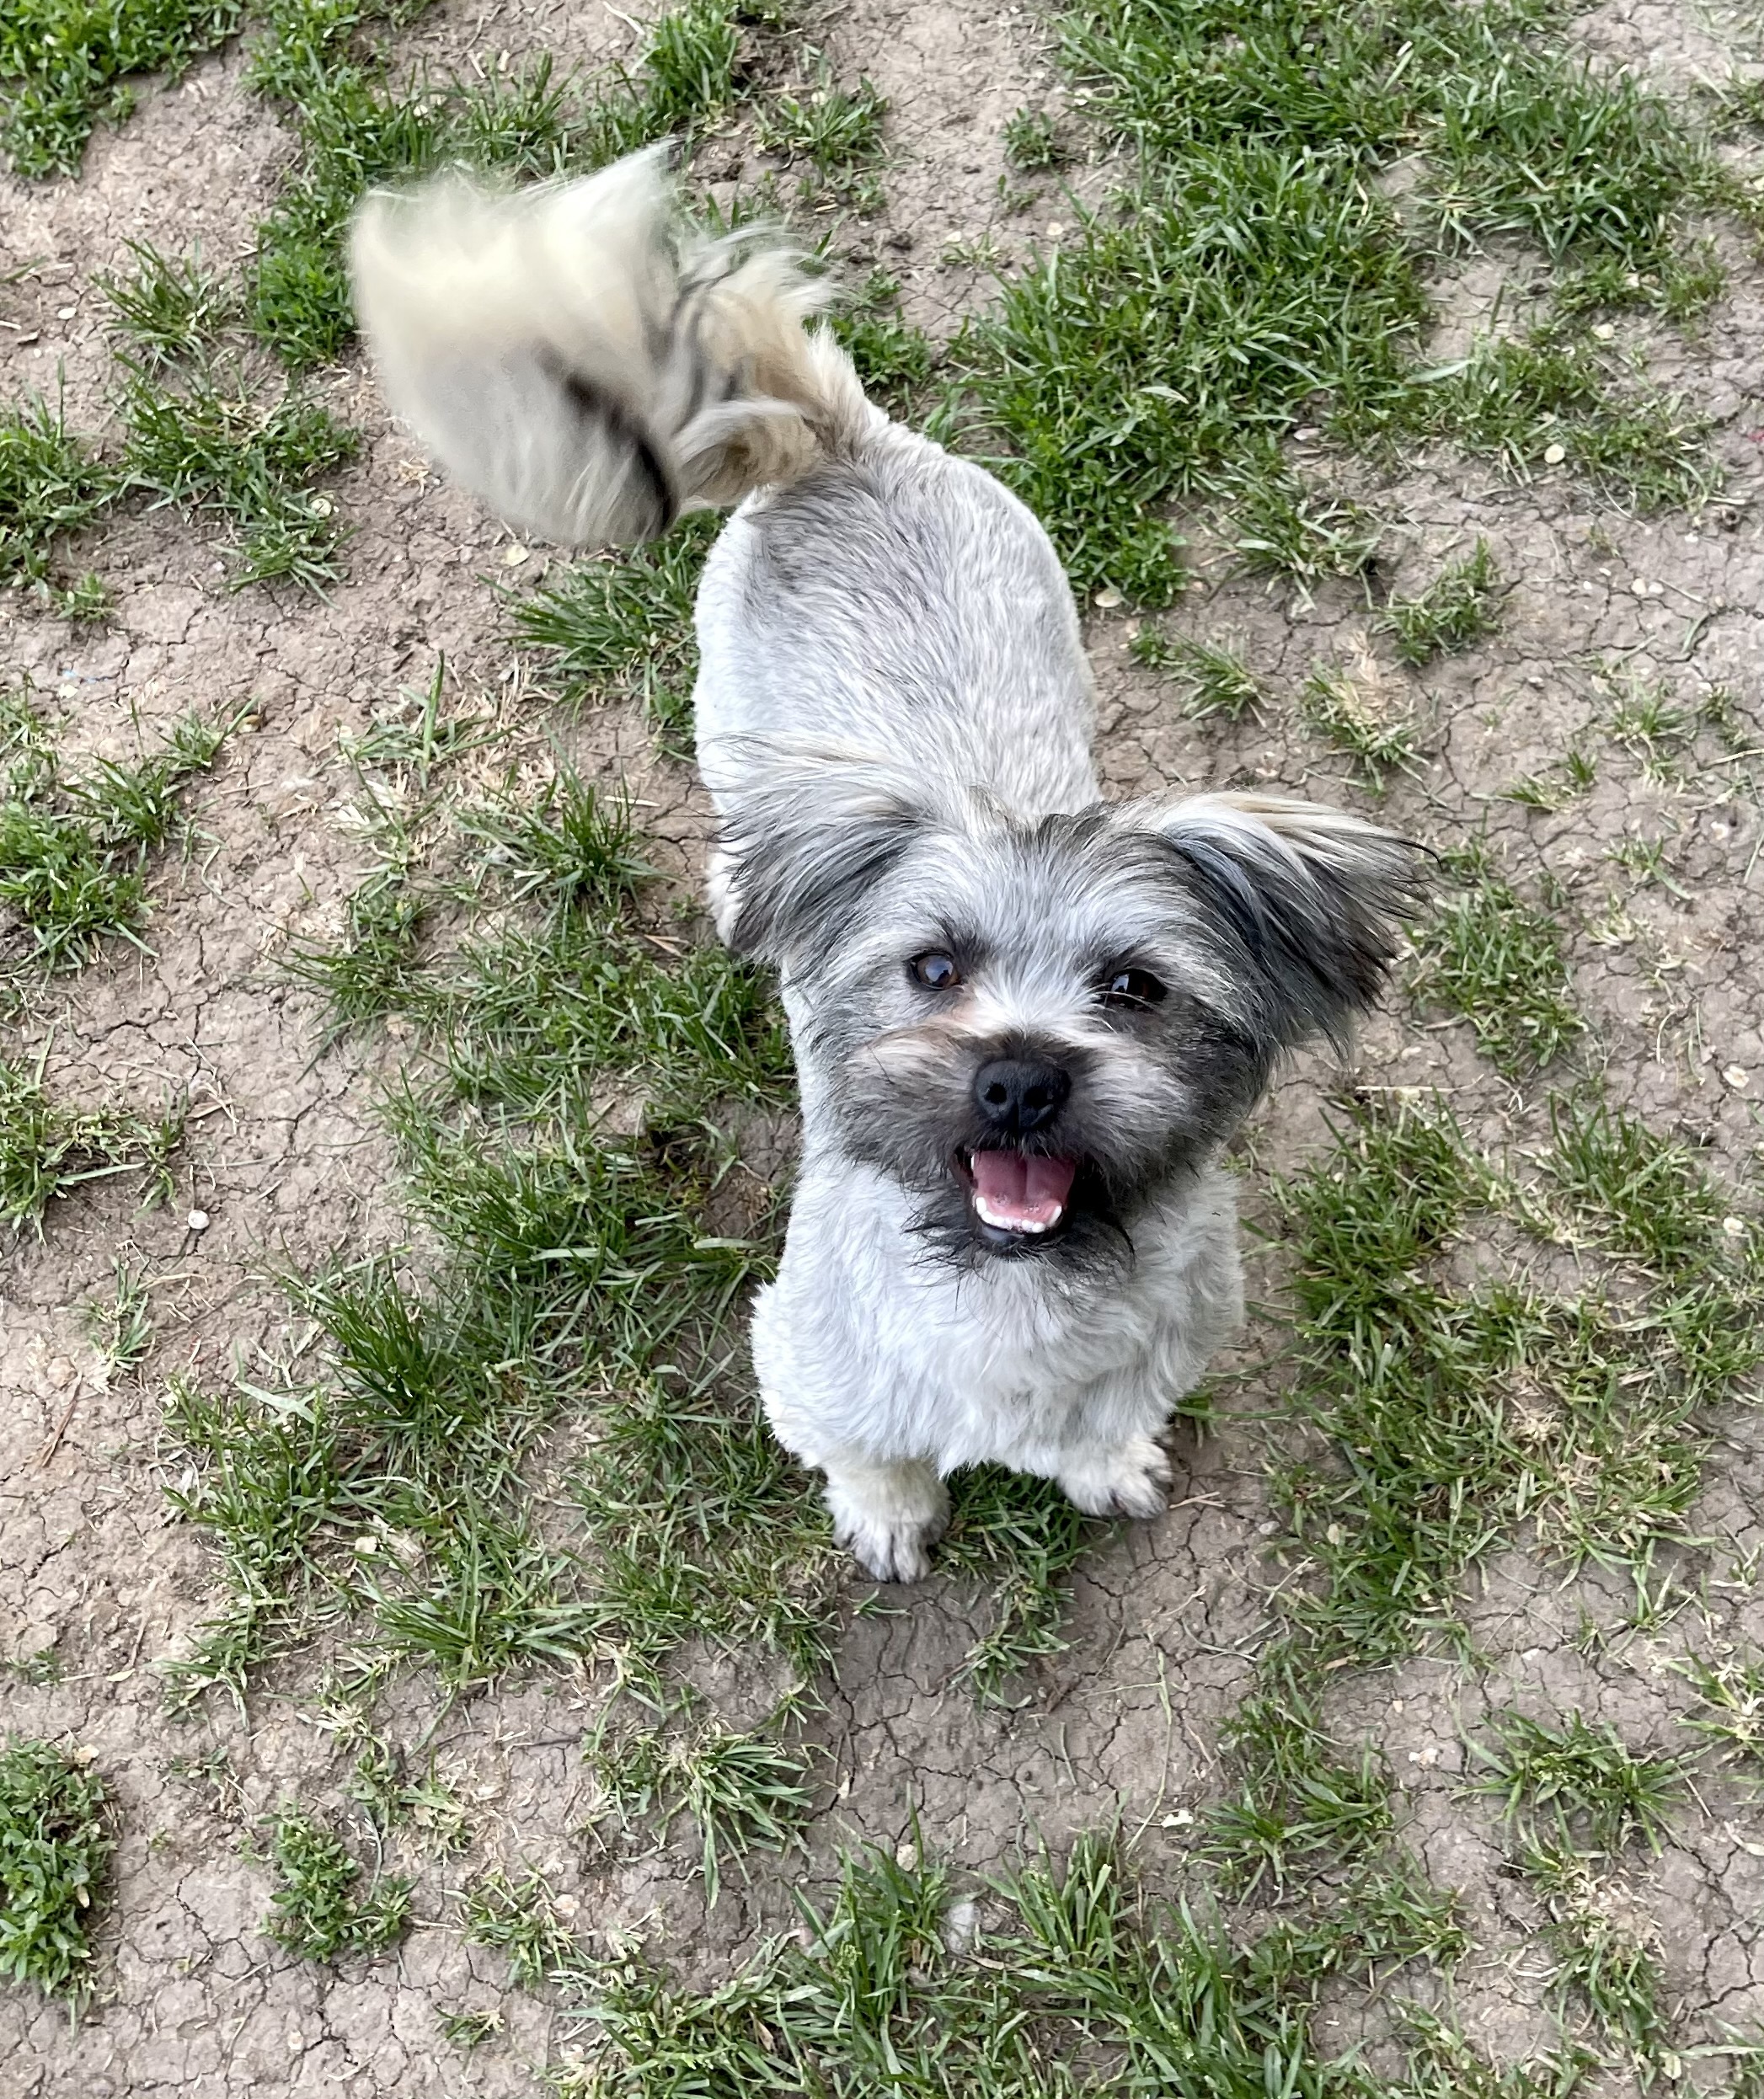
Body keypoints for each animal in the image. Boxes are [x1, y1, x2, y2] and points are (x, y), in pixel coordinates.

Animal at [350, 147, 1428, 1578]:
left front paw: (1101, 1467)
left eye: (1135, 989)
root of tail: (838, 444)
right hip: (727, 721)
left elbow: (1101, 1433)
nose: (1018, 1079)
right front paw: (890, 1517)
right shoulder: (802, 1369)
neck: (1013, 1311)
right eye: (930, 968)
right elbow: (875, 1460)